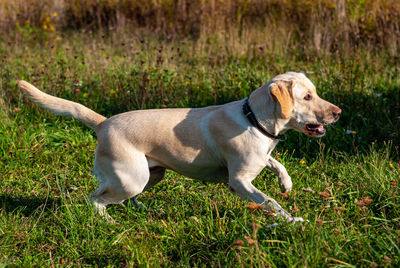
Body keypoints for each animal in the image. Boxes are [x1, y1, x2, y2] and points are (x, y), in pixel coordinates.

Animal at [18, 72, 340, 223]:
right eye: (307, 97)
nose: (338, 112)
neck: (254, 119)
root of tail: (103, 122)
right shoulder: (239, 181)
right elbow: (271, 202)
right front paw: (292, 220)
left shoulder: (259, 159)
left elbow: (275, 163)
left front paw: (286, 182)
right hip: (132, 179)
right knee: (94, 199)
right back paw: (108, 221)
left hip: (151, 175)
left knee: (117, 197)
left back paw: (141, 209)